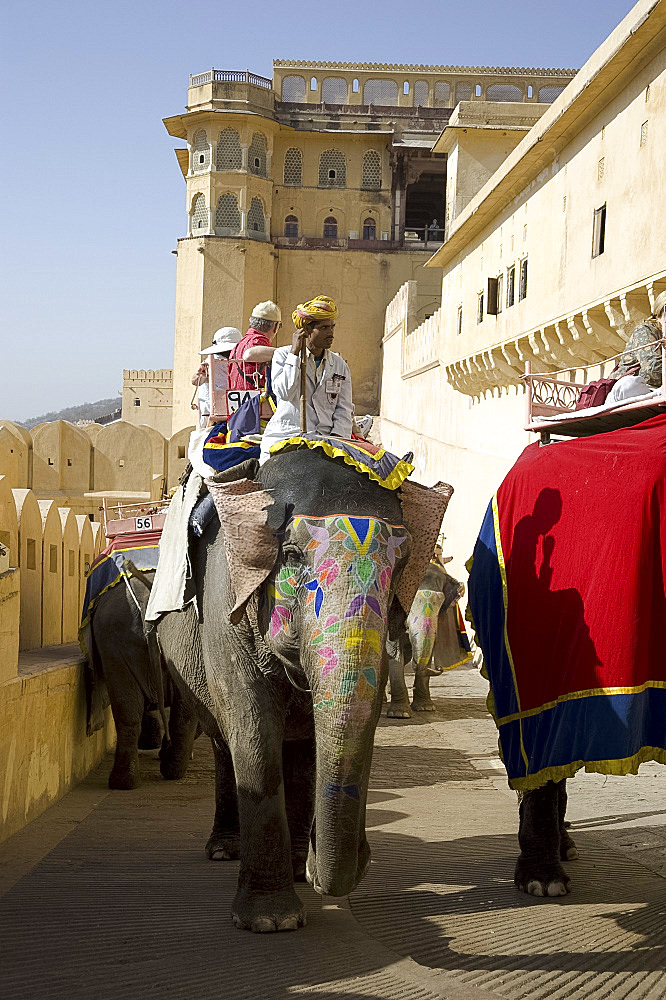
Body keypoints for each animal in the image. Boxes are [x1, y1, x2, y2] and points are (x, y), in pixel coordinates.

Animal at [154, 450, 452, 932]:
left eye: (403, 564)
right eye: (291, 556)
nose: (364, 855)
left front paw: (301, 878)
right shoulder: (224, 606)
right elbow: (252, 725)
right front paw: (270, 921)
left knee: (298, 747)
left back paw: (292, 866)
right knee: (222, 740)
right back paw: (224, 850)